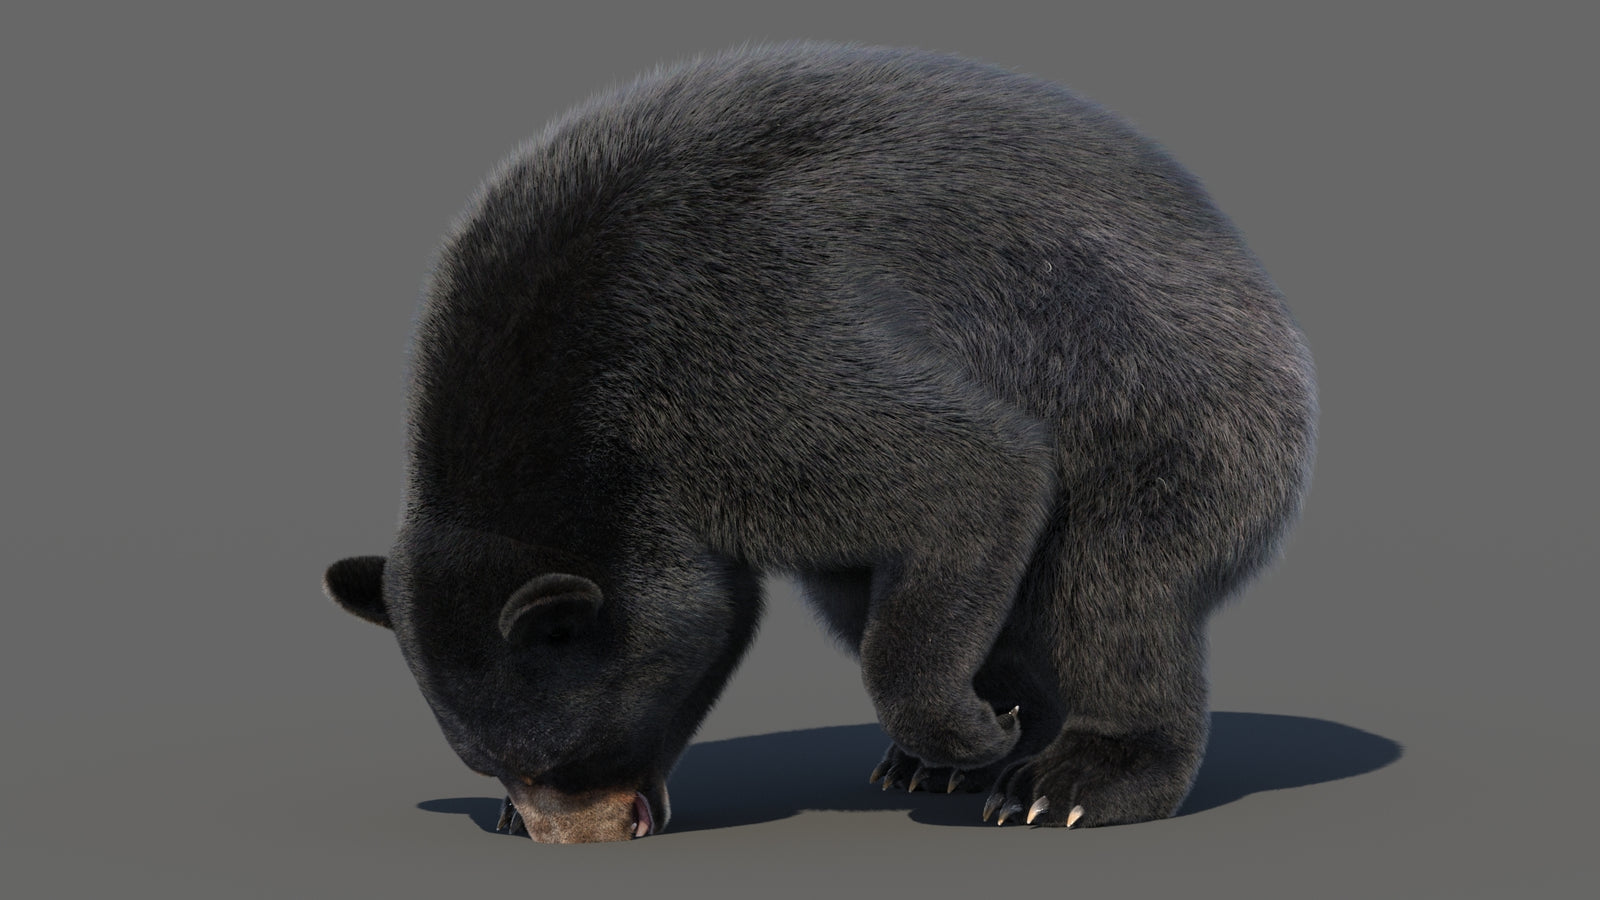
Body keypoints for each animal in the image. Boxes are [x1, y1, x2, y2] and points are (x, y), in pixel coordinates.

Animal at [323, 41, 1317, 843]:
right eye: (490, 760)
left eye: (561, 754)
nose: (578, 837)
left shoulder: (737, 366)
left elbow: (974, 470)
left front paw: (974, 727)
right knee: (873, 592)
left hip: (1169, 403)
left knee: (1116, 588)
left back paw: (1068, 780)